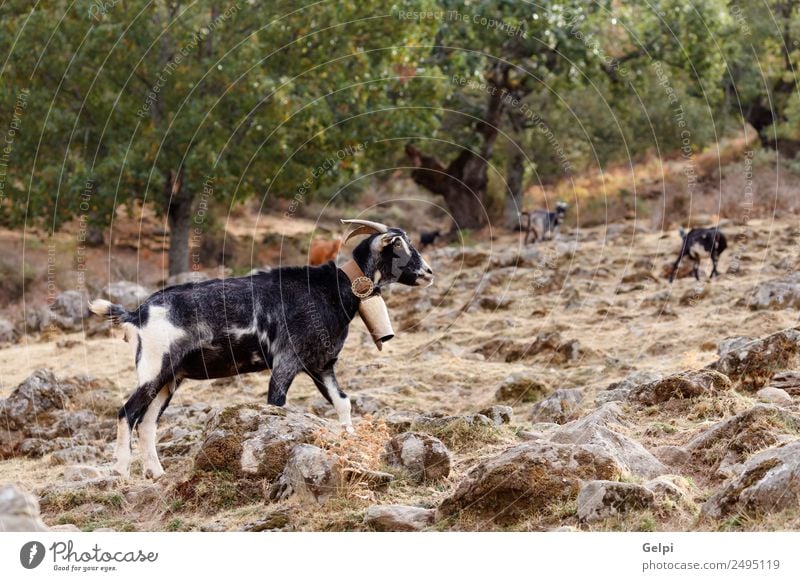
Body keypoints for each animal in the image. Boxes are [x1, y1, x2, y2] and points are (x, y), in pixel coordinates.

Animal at [90, 218, 434, 476]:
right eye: (398, 245)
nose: (428, 273)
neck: (333, 289)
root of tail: (139, 313)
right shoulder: (286, 361)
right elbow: (276, 405)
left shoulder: (321, 365)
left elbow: (343, 403)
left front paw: (351, 444)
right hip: (154, 367)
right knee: (127, 412)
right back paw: (121, 472)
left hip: (169, 378)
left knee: (147, 423)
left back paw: (157, 474)